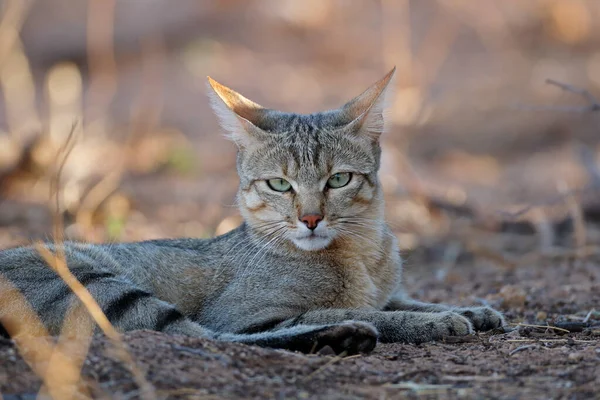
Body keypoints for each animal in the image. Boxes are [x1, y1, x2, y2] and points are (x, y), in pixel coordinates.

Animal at [0, 67, 504, 354]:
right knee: (197, 337)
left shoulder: (385, 289)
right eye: (279, 184)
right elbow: (351, 311)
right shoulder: (246, 313)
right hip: (98, 286)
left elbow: (402, 299)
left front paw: (472, 309)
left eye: (338, 180)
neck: (361, 255)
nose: (311, 219)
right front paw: (435, 320)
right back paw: (341, 337)